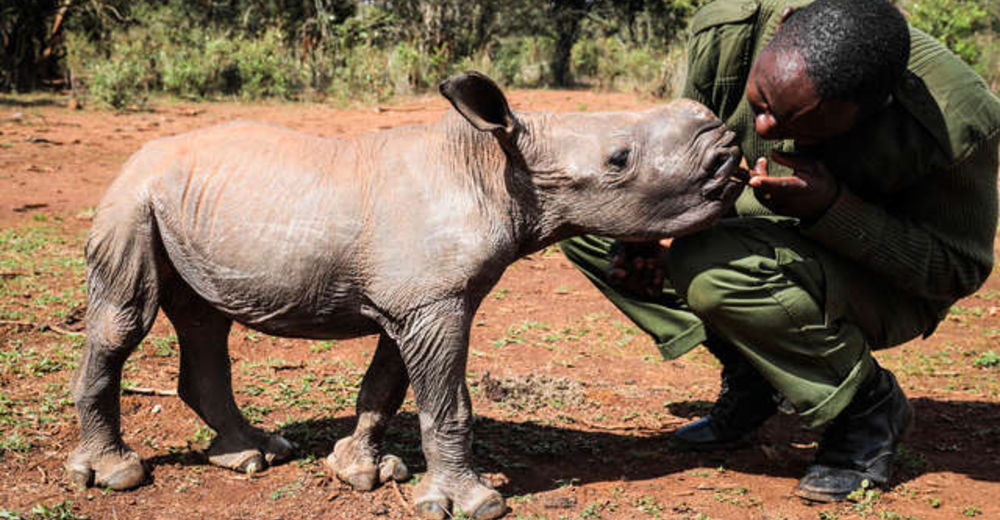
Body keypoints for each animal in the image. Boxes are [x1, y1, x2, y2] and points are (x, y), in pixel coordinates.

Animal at [66, 72, 744, 520]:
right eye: (619, 159)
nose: (727, 147)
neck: (493, 166)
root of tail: (135, 158)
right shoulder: (433, 304)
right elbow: (447, 403)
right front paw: (474, 504)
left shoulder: (419, 300)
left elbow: (386, 388)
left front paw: (359, 472)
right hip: (132, 198)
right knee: (125, 322)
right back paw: (118, 474)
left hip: (182, 203)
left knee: (206, 322)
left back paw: (255, 454)